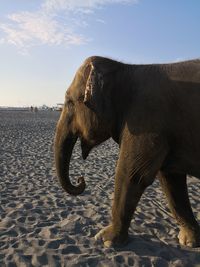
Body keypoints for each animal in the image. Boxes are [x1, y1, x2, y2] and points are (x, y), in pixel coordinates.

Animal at [54, 56, 200, 249]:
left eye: (70, 102)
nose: (80, 179)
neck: (125, 70)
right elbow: (170, 181)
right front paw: (189, 242)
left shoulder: (146, 121)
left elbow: (132, 175)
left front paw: (105, 240)